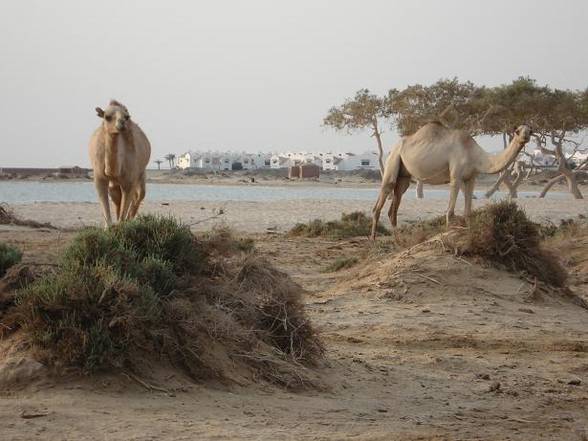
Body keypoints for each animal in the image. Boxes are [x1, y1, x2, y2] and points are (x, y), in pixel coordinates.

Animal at [372, 121, 532, 237]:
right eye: (518, 131)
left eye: (530, 131)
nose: (525, 137)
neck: (474, 155)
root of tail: (393, 148)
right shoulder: (455, 176)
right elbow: (450, 211)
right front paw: (447, 235)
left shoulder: (471, 178)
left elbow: (468, 212)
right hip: (393, 160)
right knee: (383, 196)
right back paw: (373, 239)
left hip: (403, 176)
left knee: (395, 204)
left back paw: (397, 238)